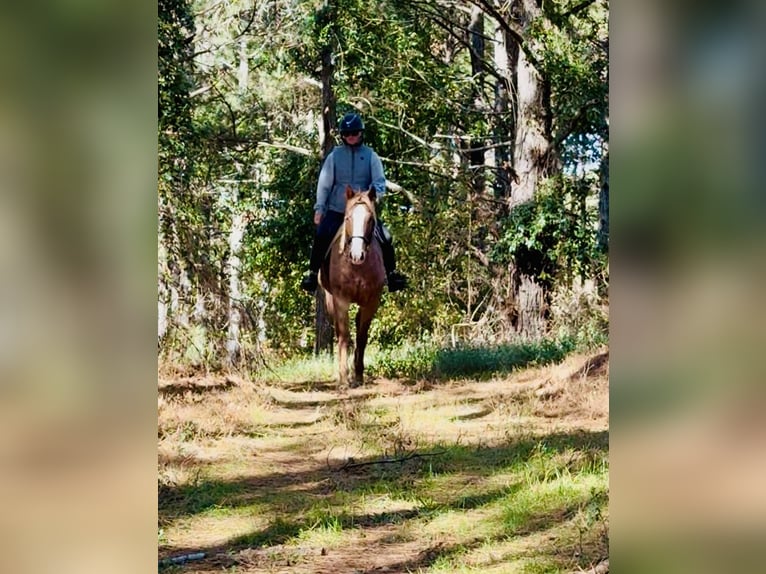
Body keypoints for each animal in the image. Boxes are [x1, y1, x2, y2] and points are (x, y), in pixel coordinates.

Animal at [319, 185, 386, 388]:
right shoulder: (341, 300)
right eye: (348, 218)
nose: (357, 255)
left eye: (370, 219)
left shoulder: (372, 301)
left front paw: (358, 375)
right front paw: (343, 378)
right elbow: (344, 336)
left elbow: (362, 336)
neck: (357, 268)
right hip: (330, 300)